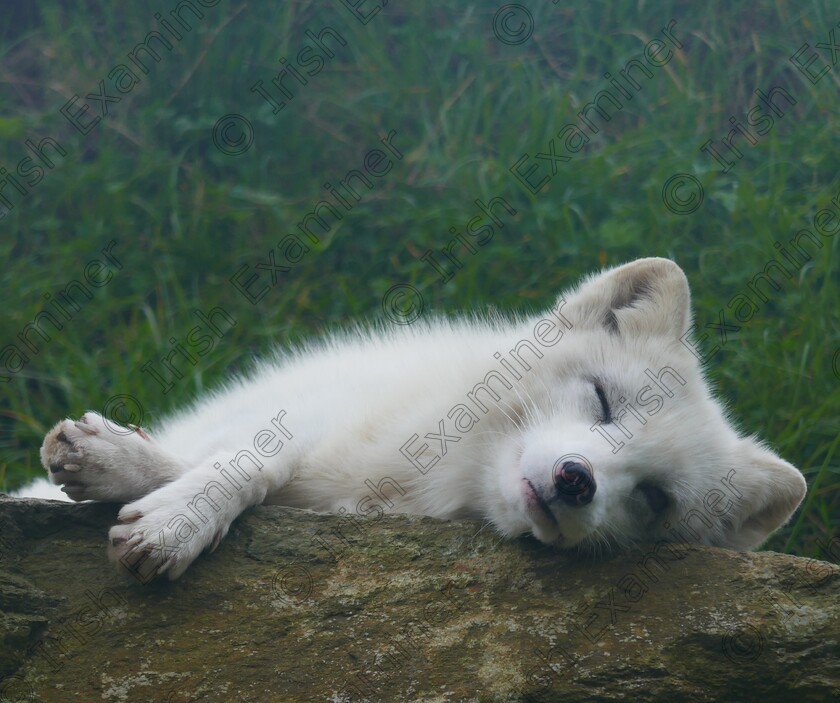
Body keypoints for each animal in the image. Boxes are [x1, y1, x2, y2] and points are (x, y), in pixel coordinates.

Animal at [39, 258, 808, 584]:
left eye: (653, 499)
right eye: (602, 400)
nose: (576, 480)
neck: (426, 489)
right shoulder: (318, 419)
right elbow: (253, 457)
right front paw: (159, 503)